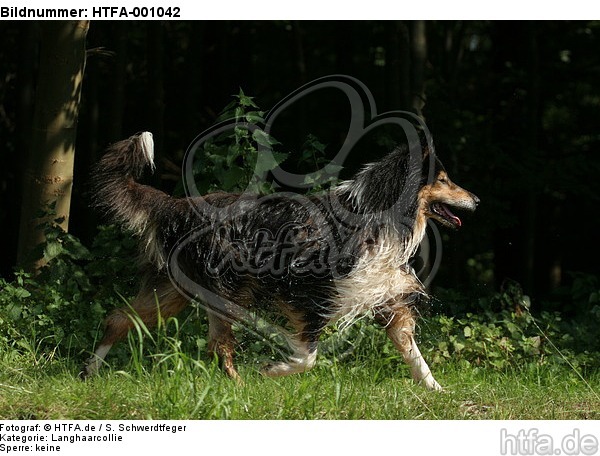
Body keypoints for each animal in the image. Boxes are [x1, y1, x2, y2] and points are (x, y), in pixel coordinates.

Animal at [82, 130, 480, 390]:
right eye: (444, 179)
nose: (477, 199)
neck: (377, 214)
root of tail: (176, 206)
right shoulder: (310, 293)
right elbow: (308, 356)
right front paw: (272, 370)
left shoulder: (385, 297)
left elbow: (413, 353)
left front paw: (437, 392)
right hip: (224, 291)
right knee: (217, 343)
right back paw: (243, 386)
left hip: (175, 292)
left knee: (120, 319)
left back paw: (90, 372)